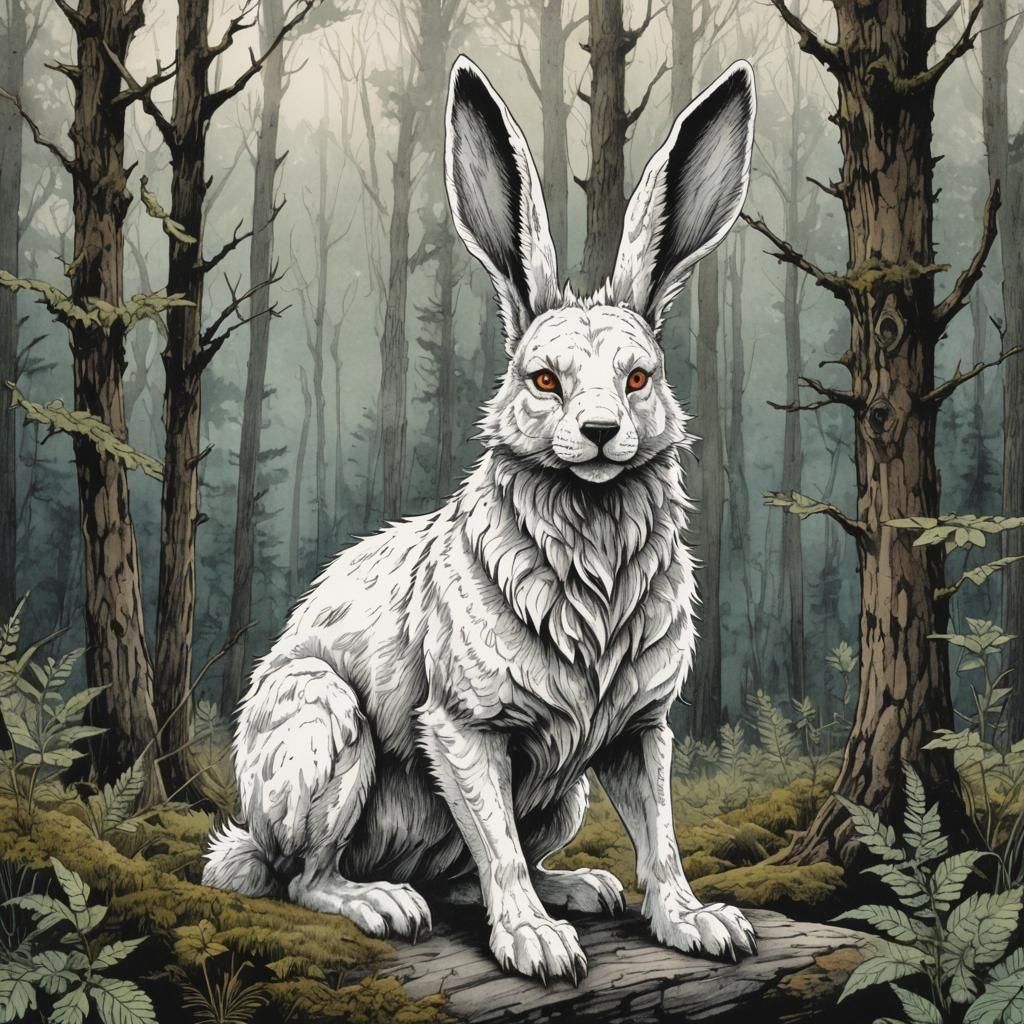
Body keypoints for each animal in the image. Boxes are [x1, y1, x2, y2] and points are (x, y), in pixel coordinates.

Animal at [204, 55, 757, 984]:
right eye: (543, 379)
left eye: (639, 378)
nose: (600, 432)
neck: (590, 540)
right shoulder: (463, 728)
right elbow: (495, 840)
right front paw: (537, 947)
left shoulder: (640, 731)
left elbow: (661, 839)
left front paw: (699, 925)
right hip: (325, 728)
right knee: (303, 875)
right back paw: (386, 903)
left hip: (565, 793)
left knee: (473, 868)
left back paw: (582, 887)